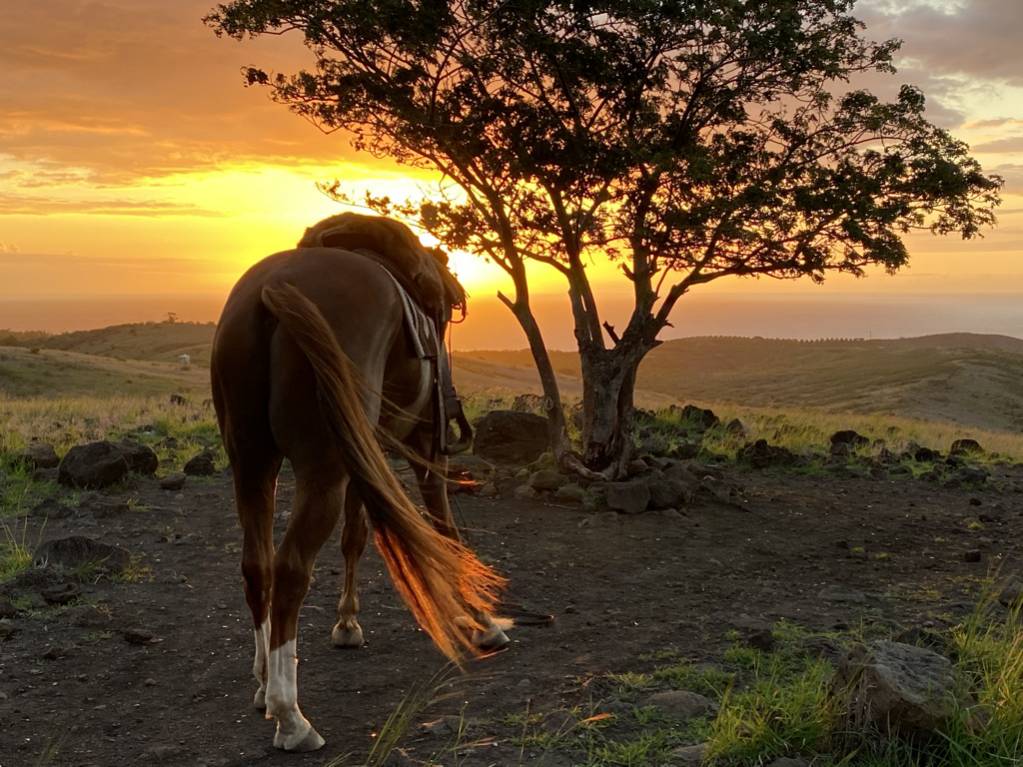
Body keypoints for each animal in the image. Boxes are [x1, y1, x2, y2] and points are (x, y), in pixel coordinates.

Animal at [210, 231, 507, 752]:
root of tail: (272, 289)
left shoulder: (359, 453)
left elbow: (355, 537)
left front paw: (347, 623)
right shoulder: (422, 445)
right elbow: (444, 527)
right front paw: (482, 619)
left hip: (252, 464)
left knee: (257, 566)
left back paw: (265, 681)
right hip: (321, 470)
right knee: (290, 570)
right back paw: (291, 716)